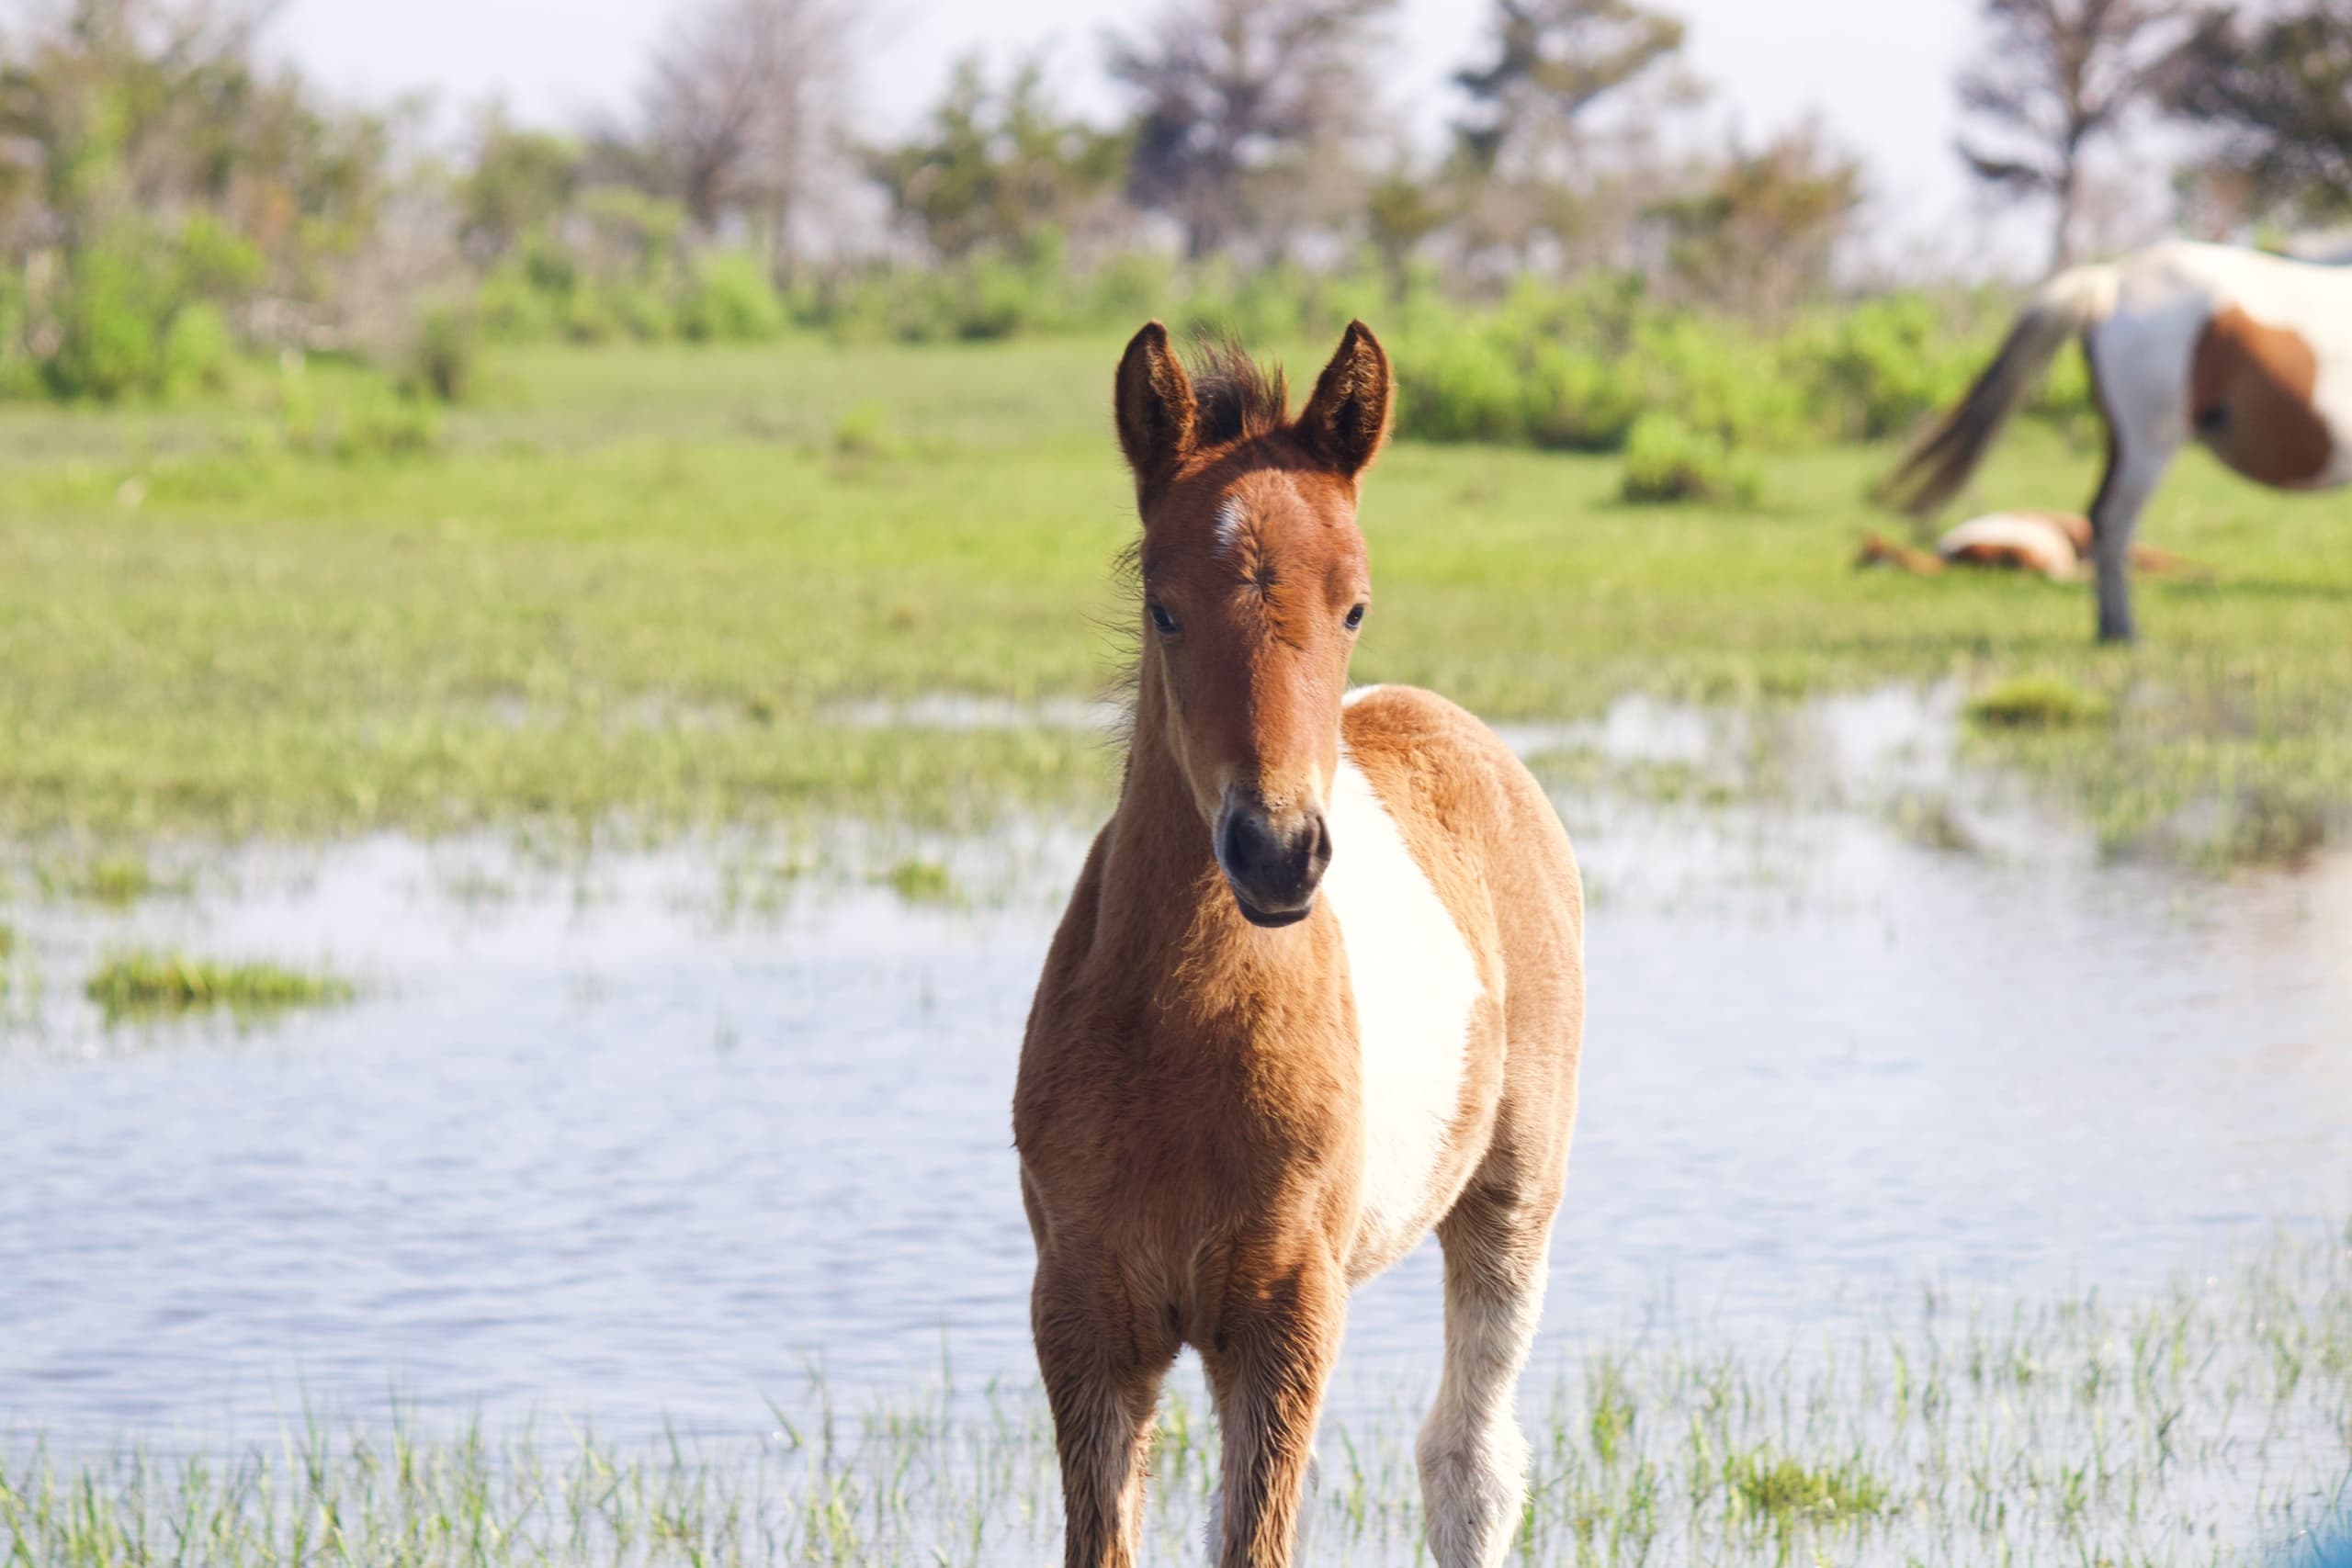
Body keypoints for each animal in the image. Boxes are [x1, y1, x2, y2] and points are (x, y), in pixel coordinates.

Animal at [1012, 321, 1585, 1568]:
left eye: (1355, 605)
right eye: (1165, 608)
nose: (1275, 852)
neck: (1183, 1040)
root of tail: (1436, 715)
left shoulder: (1279, 1311)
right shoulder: (1085, 1315)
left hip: (1513, 1198)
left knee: (1470, 1463)